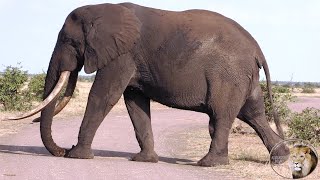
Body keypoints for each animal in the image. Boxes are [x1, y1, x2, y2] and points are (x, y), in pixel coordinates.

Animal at [9, 2, 284, 167]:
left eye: (68, 40)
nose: (63, 150)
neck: (103, 10)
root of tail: (257, 49)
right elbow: (135, 103)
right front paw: (144, 160)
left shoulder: (122, 55)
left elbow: (103, 96)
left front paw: (79, 157)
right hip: (244, 78)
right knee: (253, 114)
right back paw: (281, 159)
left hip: (228, 75)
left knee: (222, 114)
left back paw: (208, 164)